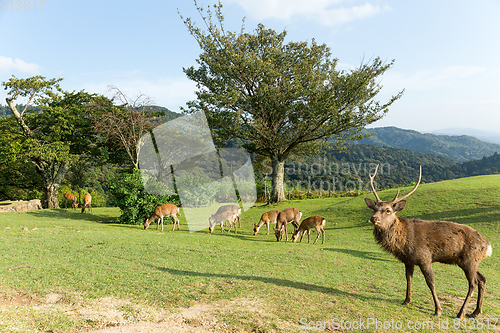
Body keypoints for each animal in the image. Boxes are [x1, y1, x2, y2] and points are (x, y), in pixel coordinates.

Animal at [364, 165, 492, 318]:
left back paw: (461, 313)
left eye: (388, 210)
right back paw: (476, 312)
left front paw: (438, 310)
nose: (373, 218)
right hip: (470, 261)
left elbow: (430, 282)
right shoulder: (408, 260)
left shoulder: (424, 258)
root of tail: (488, 246)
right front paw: (406, 300)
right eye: (374, 208)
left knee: (473, 283)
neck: (403, 243)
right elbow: (408, 278)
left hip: (469, 260)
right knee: (482, 279)